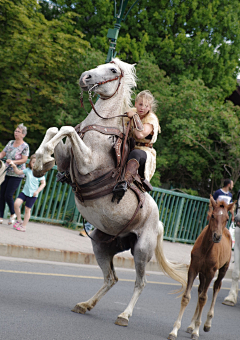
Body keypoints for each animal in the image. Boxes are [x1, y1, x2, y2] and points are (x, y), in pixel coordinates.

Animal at [32, 57, 188, 326]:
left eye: (113, 69)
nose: (85, 77)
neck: (99, 128)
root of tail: (158, 223)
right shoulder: (67, 160)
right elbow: (55, 129)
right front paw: (39, 161)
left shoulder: (87, 163)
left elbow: (67, 129)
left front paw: (41, 158)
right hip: (102, 246)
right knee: (111, 278)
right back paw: (85, 304)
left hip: (141, 251)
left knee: (140, 282)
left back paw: (124, 315)